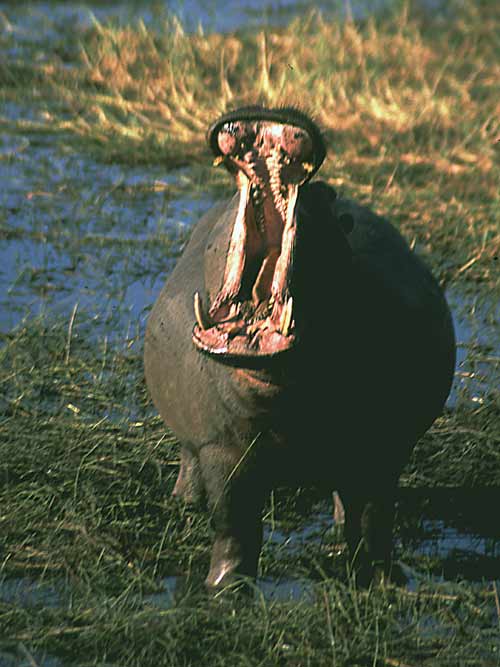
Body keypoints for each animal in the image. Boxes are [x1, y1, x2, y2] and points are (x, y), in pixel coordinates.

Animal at [144, 106, 456, 590]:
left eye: (325, 200)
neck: (278, 387)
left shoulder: (384, 447)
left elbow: (376, 519)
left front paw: (385, 581)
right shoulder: (222, 450)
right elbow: (234, 524)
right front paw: (226, 588)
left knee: (348, 499)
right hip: (194, 440)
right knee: (189, 465)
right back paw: (183, 504)